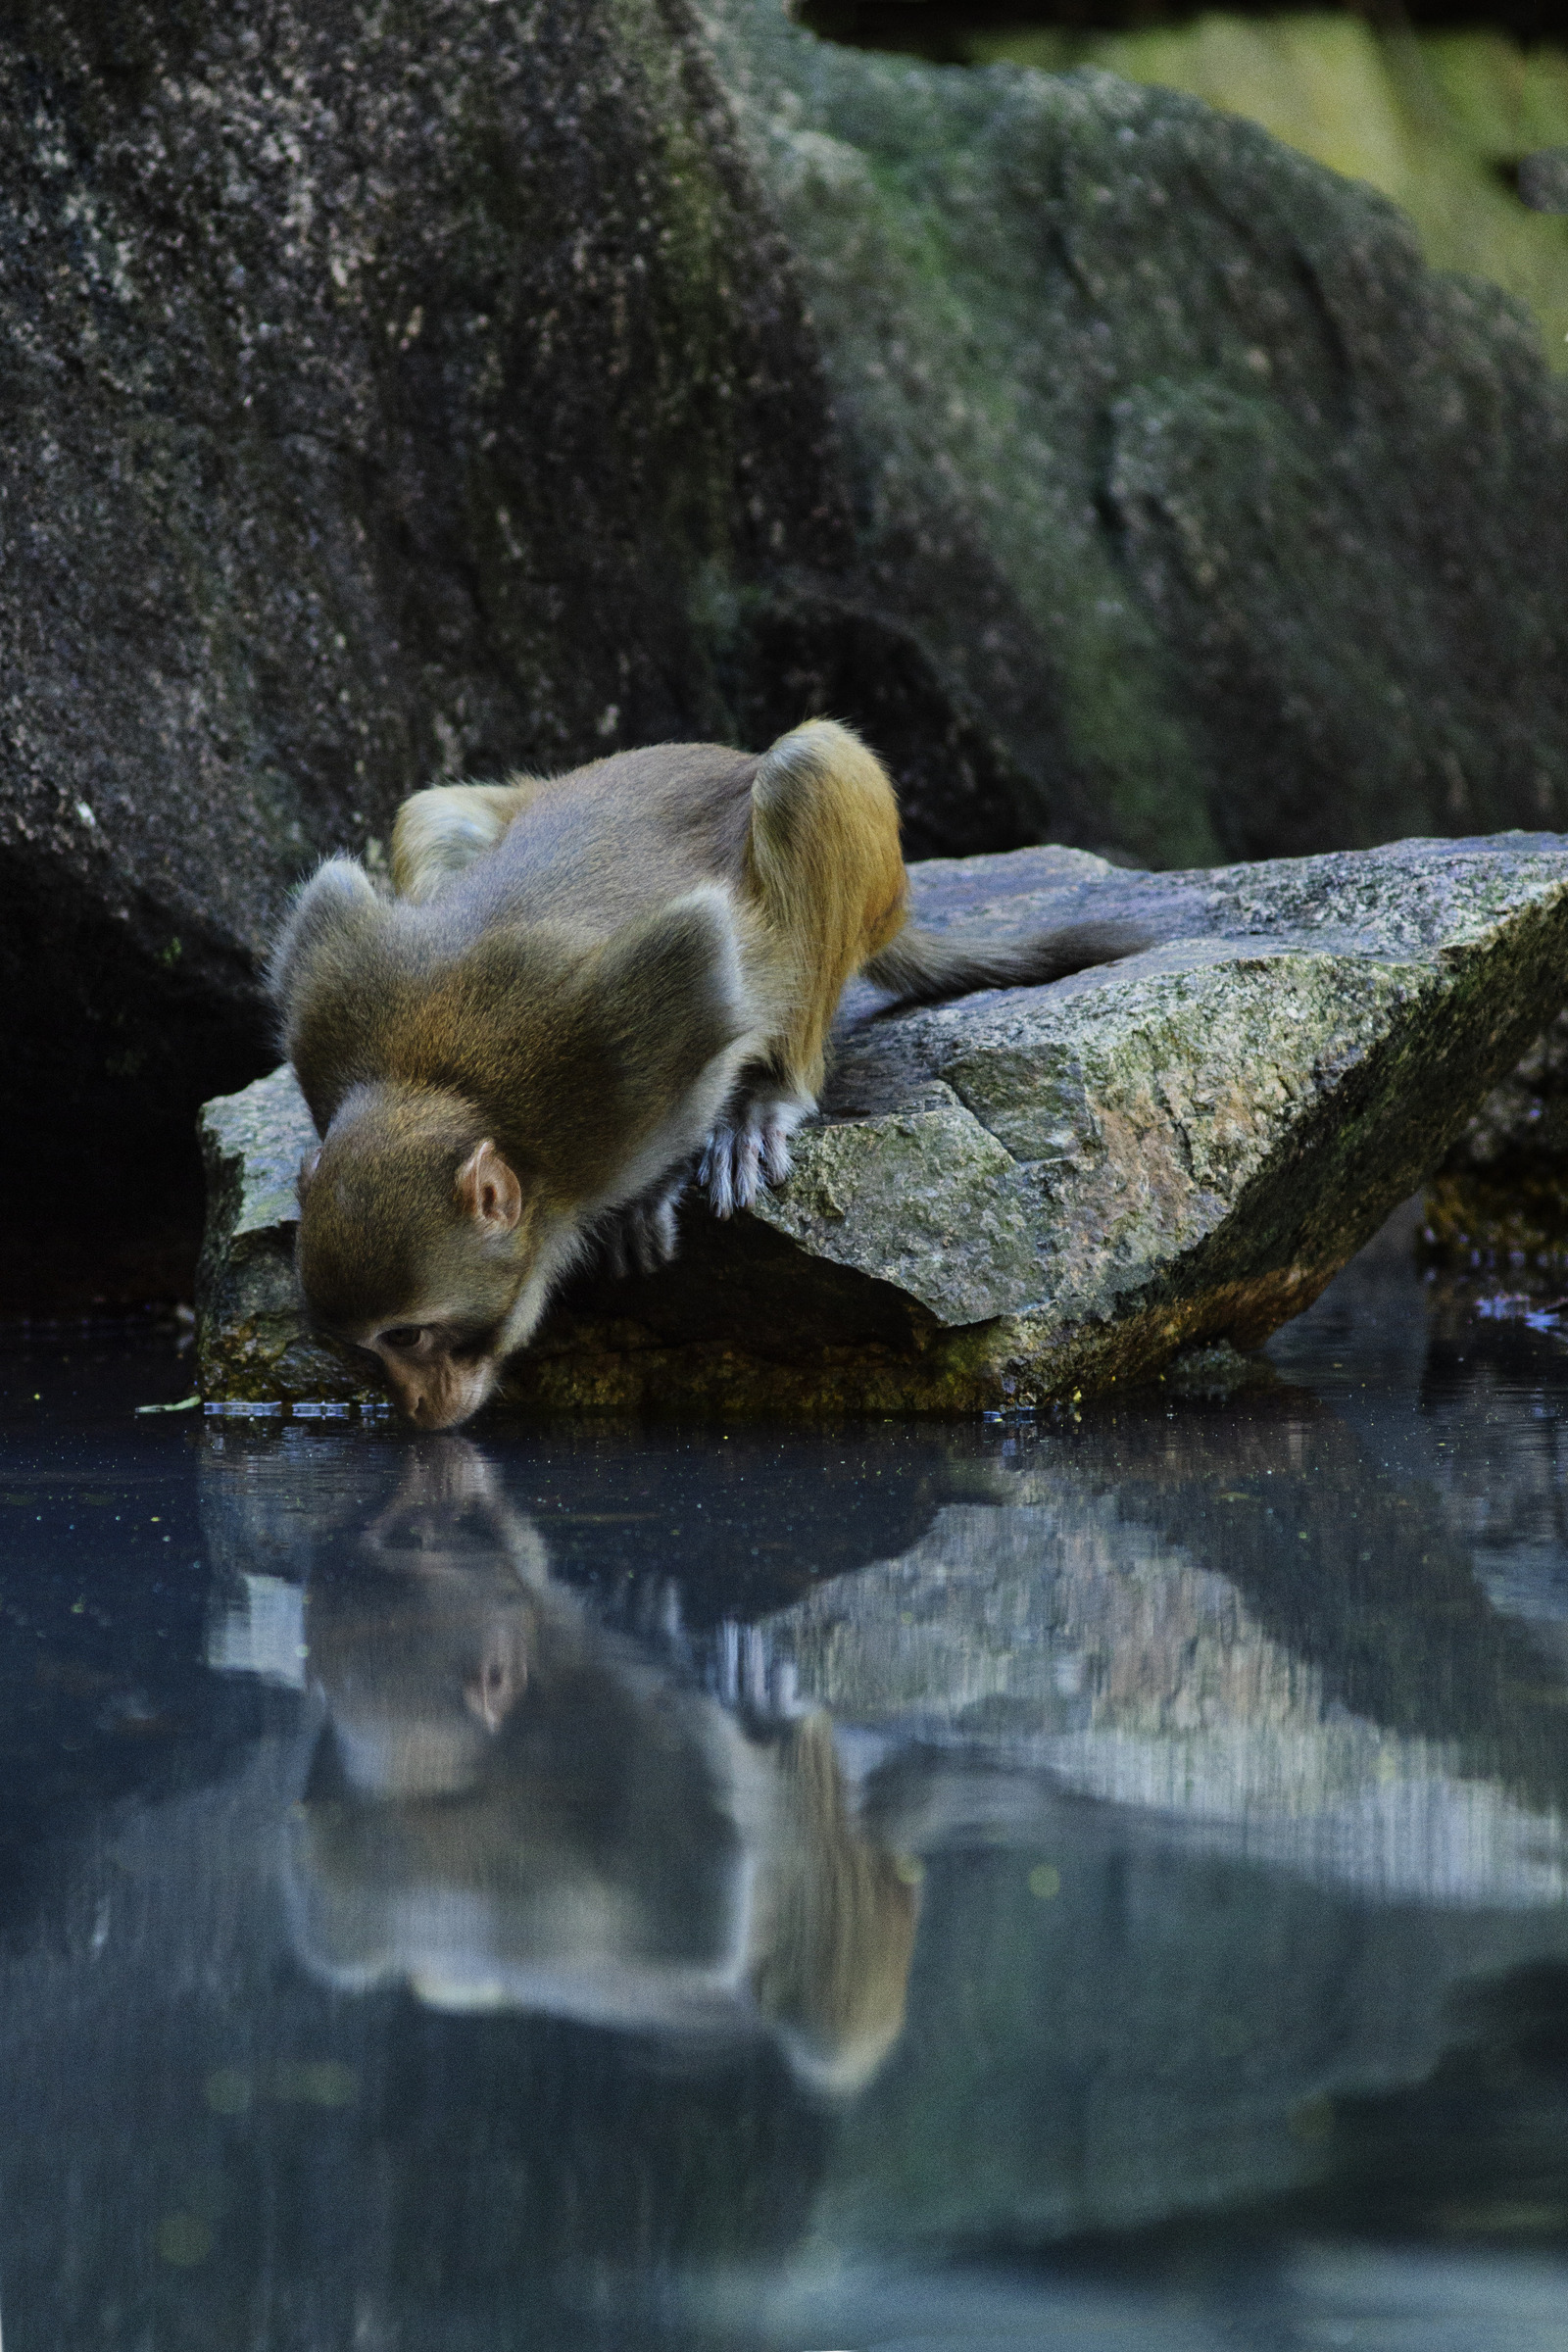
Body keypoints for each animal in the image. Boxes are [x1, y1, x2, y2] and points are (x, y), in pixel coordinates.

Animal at [270, 714, 1147, 1420]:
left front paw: (661, 1180)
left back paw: (768, 1093)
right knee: (428, 812)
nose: (416, 1409)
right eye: (365, 1348)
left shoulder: (616, 1069)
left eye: (408, 1336)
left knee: (806, 768)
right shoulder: (328, 1009)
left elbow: (708, 959)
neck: (449, 1089)